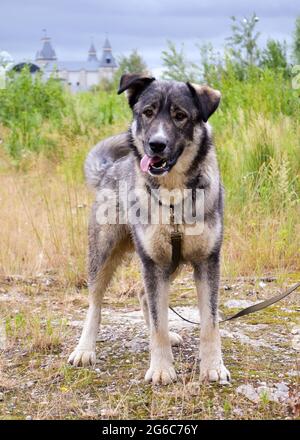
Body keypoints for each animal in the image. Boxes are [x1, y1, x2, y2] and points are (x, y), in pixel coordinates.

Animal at [69, 74, 231, 384]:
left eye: (180, 116)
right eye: (147, 112)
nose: (156, 144)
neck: (173, 196)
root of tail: (111, 168)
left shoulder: (207, 261)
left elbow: (210, 323)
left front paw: (213, 366)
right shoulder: (154, 263)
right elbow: (158, 323)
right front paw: (161, 368)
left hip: (171, 264)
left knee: (145, 297)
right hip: (104, 255)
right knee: (95, 303)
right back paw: (84, 349)